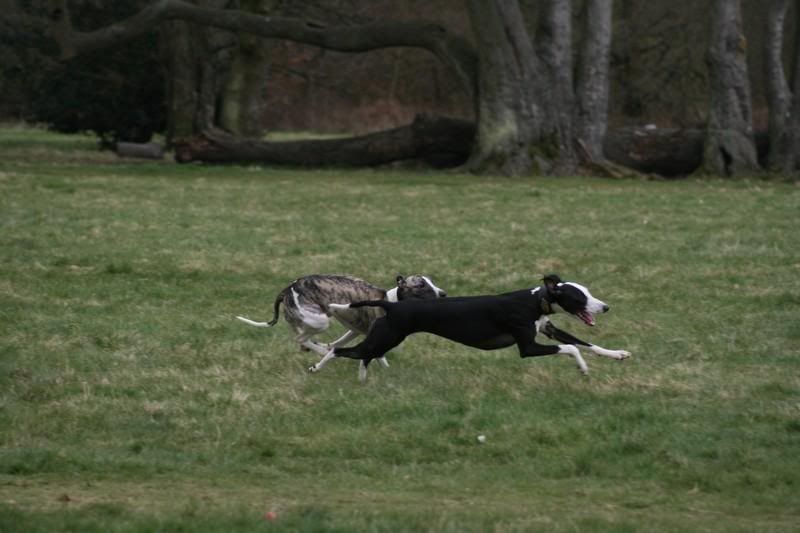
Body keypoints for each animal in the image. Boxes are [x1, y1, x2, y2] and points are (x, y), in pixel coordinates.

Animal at [312, 274, 632, 378]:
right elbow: (571, 348)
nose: (605, 307)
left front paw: (618, 354)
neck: (534, 301)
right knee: (340, 351)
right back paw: (316, 367)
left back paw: (363, 380)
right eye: (579, 297)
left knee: (361, 356)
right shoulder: (528, 347)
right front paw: (583, 368)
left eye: (588, 292)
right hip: (386, 338)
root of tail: (393, 305)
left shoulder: (547, 329)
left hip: (383, 339)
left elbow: (586, 344)